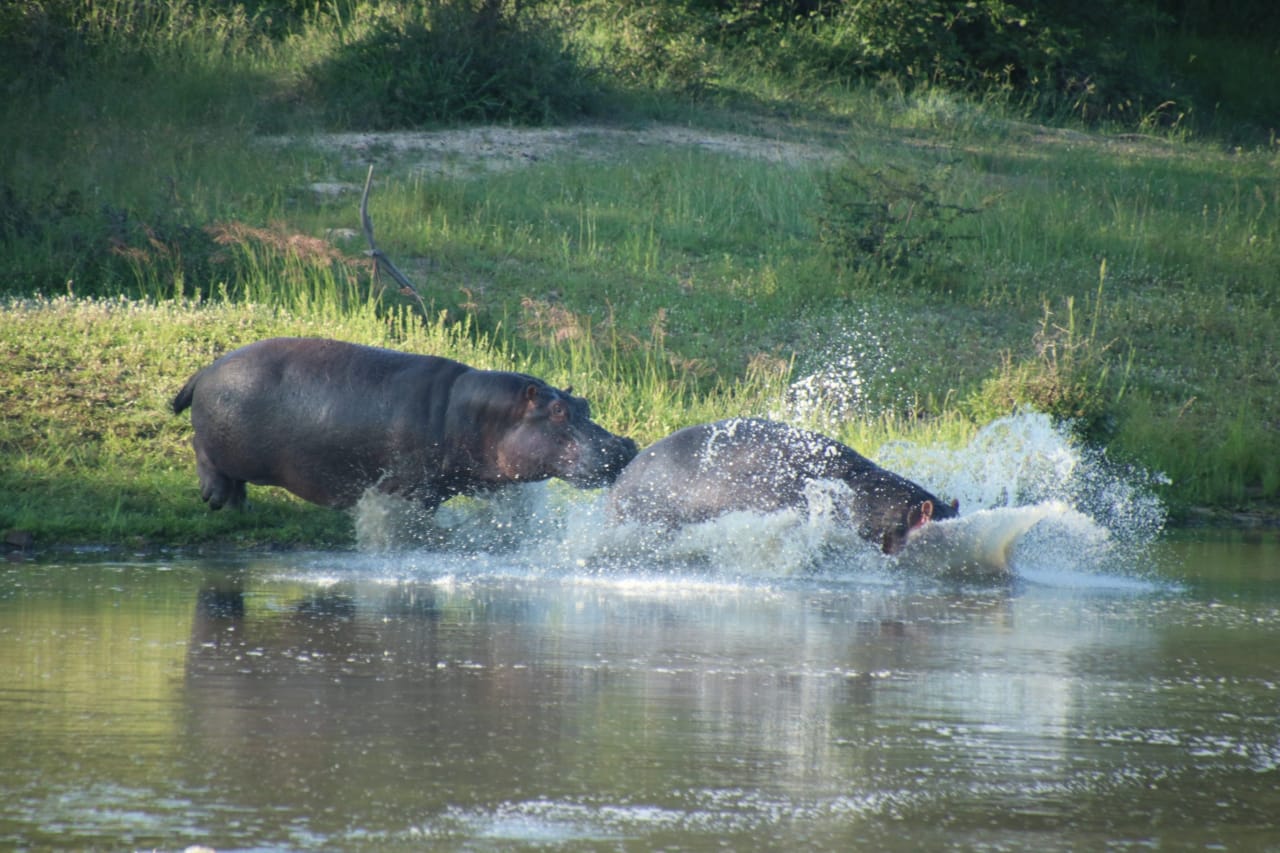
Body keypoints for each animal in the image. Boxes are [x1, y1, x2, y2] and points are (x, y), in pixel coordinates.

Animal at [172, 337, 638, 512]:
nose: (625, 446)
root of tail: (206, 369)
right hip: (223, 446)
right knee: (202, 452)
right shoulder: (409, 488)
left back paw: (236, 504)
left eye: (583, 402)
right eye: (557, 411)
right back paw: (214, 498)